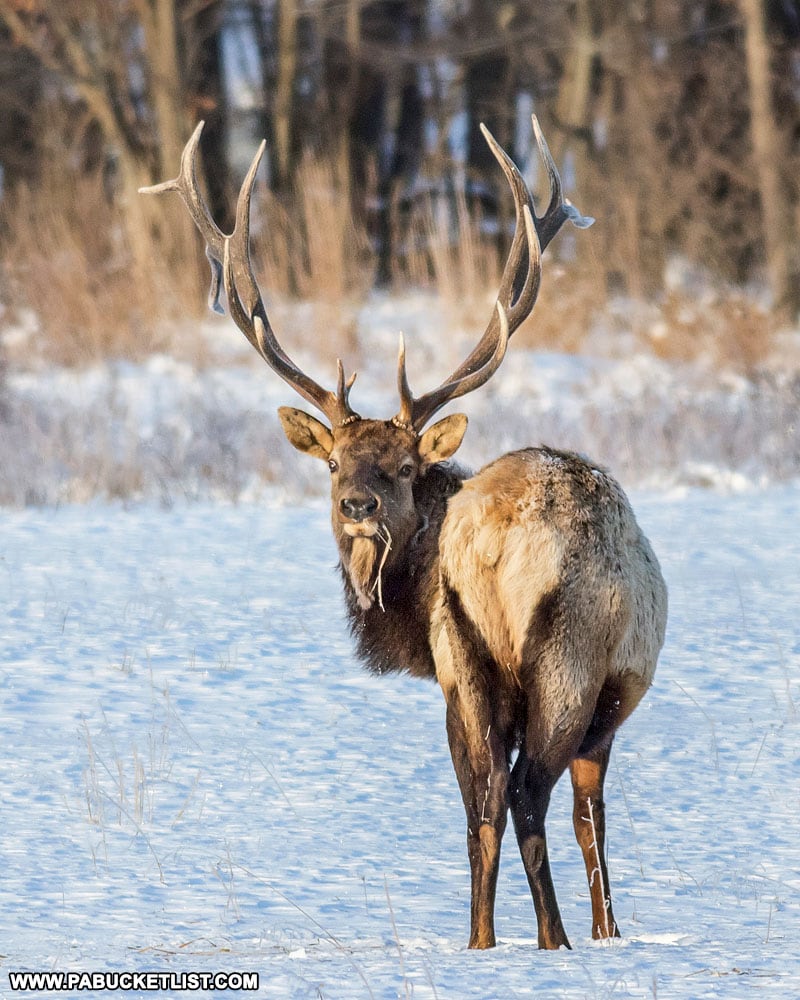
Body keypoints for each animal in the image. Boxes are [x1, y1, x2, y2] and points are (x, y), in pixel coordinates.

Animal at [144, 121, 668, 948]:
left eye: (399, 465)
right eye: (332, 462)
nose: (356, 504)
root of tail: (494, 544)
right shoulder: (602, 703)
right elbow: (592, 818)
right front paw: (606, 934)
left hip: (475, 660)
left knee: (486, 803)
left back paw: (483, 941)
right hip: (567, 660)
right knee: (523, 793)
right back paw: (549, 940)